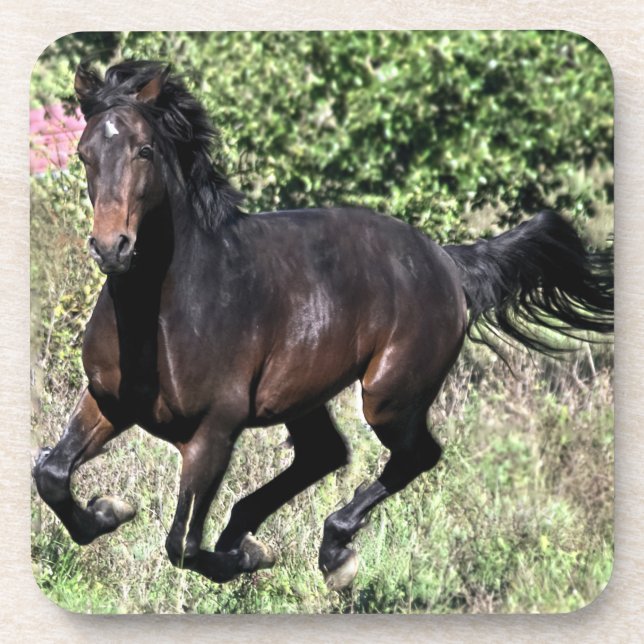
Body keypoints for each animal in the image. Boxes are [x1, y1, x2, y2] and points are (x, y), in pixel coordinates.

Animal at [33, 60, 613, 590]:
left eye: (145, 151)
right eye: (84, 154)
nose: (112, 248)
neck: (165, 313)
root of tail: (447, 261)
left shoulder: (213, 432)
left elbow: (182, 544)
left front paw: (248, 559)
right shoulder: (107, 400)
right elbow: (52, 475)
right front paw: (109, 511)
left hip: (388, 396)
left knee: (413, 455)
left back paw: (332, 552)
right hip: (303, 395)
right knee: (324, 454)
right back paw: (249, 534)